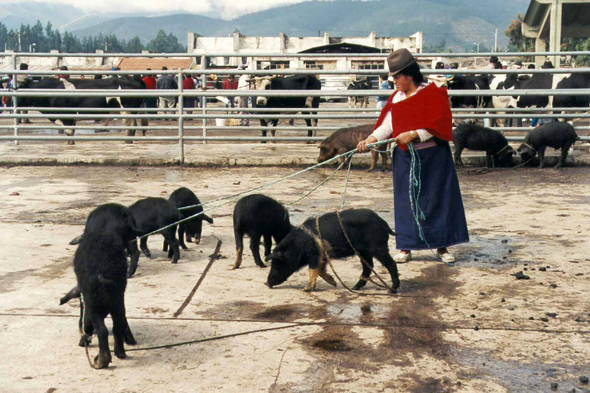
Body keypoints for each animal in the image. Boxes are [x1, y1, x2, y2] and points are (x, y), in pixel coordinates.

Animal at [18, 76, 149, 144]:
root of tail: (134, 78)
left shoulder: (66, 115)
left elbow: (69, 133)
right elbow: (71, 132)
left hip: (127, 110)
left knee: (131, 126)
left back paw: (127, 142)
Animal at [73, 230, 137, 368]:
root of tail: (101, 272)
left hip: (94, 306)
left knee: (102, 330)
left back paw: (101, 361)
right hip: (118, 301)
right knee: (117, 326)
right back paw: (120, 353)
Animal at [268, 210, 402, 292]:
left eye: (277, 264)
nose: (267, 283)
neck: (297, 245)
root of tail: (383, 223)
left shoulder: (315, 254)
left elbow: (313, 270)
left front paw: (306, 289)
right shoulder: (323, 255)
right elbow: (321, 270)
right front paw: (333, 283)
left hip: (377, 247)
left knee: (390, 264)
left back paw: (392, 289)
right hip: (363, 251)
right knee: (368, 266)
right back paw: (355, 287)